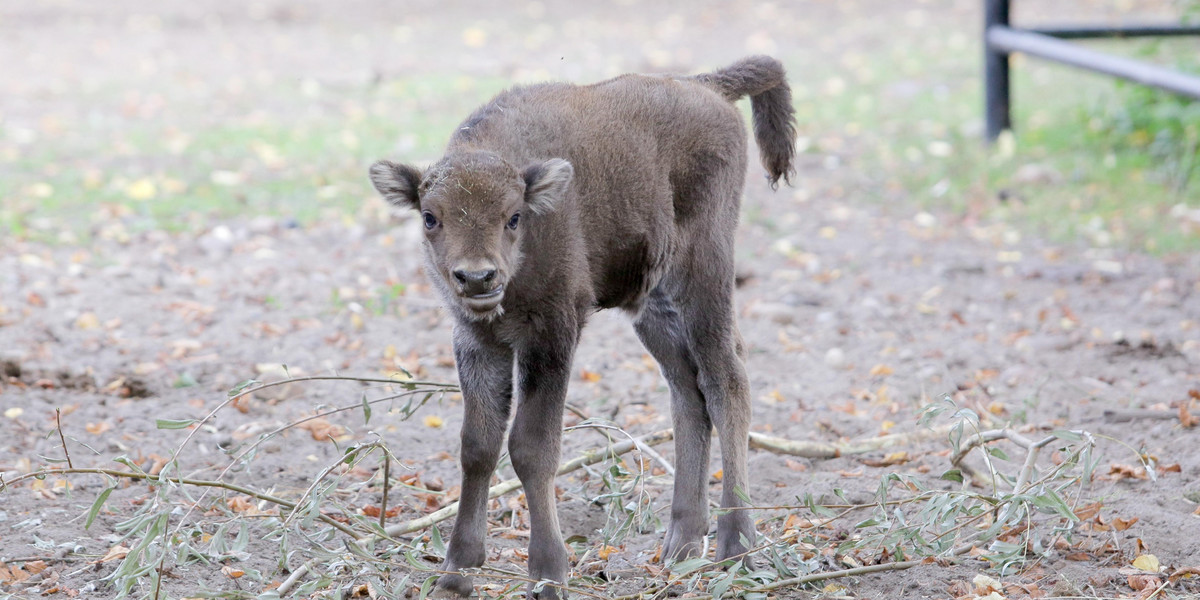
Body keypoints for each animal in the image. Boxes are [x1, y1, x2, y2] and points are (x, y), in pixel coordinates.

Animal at [364, 55, 796, 595]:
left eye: (513, 216)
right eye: (429, 217)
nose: (477, 277)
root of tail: (706, 87)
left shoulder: (552, 335)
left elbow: (531, 447)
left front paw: (548, 573)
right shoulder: (477, 341)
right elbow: (477, 445)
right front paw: (456, 572)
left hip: (703, 276)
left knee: (726, 381)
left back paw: (736, 543)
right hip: (653, 307)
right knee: (687, 391)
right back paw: (679, 544)